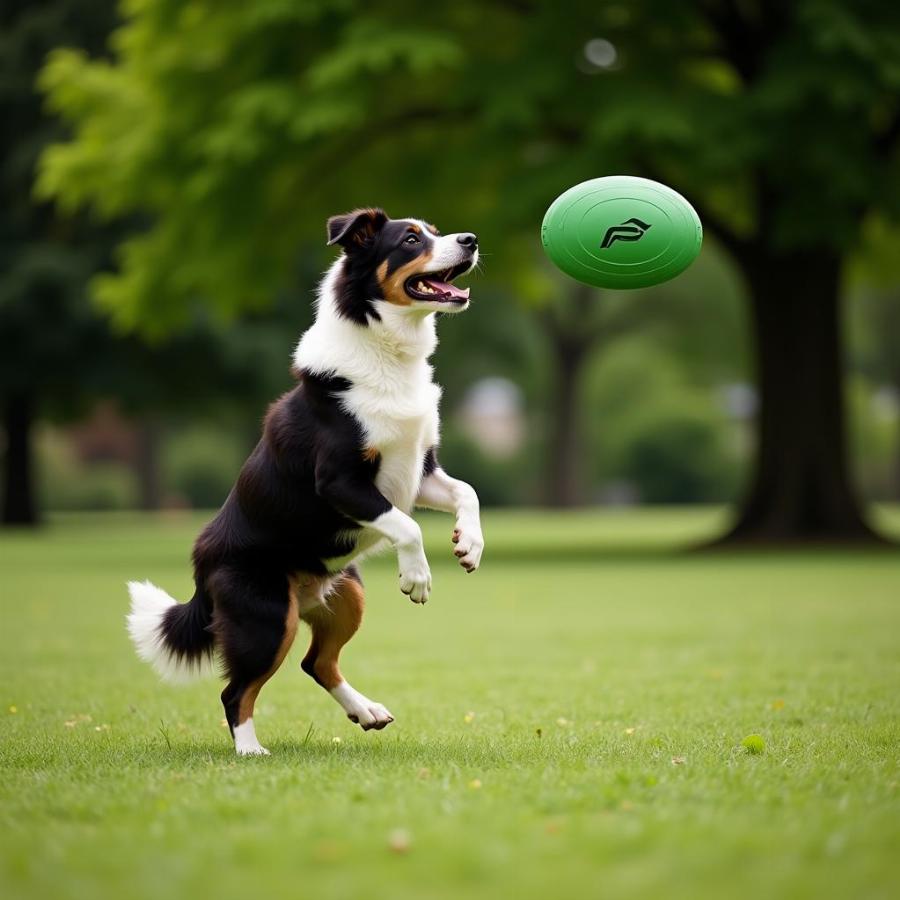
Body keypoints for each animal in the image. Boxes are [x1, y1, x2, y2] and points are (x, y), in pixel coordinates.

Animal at [126, 207, 486, 756]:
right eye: (409, 239)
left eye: (436, 230)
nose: (470, 239)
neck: (388, 355)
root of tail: (200, 567)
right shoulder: (340, 481)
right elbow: (406, 526)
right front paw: (417, 578)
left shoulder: (421, 469)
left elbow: (468, 492)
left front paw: (469, 545)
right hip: (268, 617)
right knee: (237, 689)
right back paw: (249, 750)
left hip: (347, 594)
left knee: (316, 662)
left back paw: (367, 711)